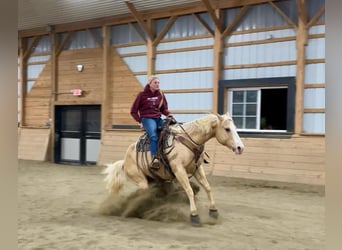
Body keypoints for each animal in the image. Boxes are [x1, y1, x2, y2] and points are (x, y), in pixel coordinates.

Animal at [103, 112, 244, 226]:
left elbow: (208, 187)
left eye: (235, 128)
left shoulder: (197, 168)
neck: (188, 140)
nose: (240, 148)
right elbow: (189, 191)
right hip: (141, 180)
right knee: (144, 194)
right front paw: (194, 215)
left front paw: (213, 212)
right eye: (227, 129)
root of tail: (125, 161)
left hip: (156, 179)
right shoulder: (179, 170)